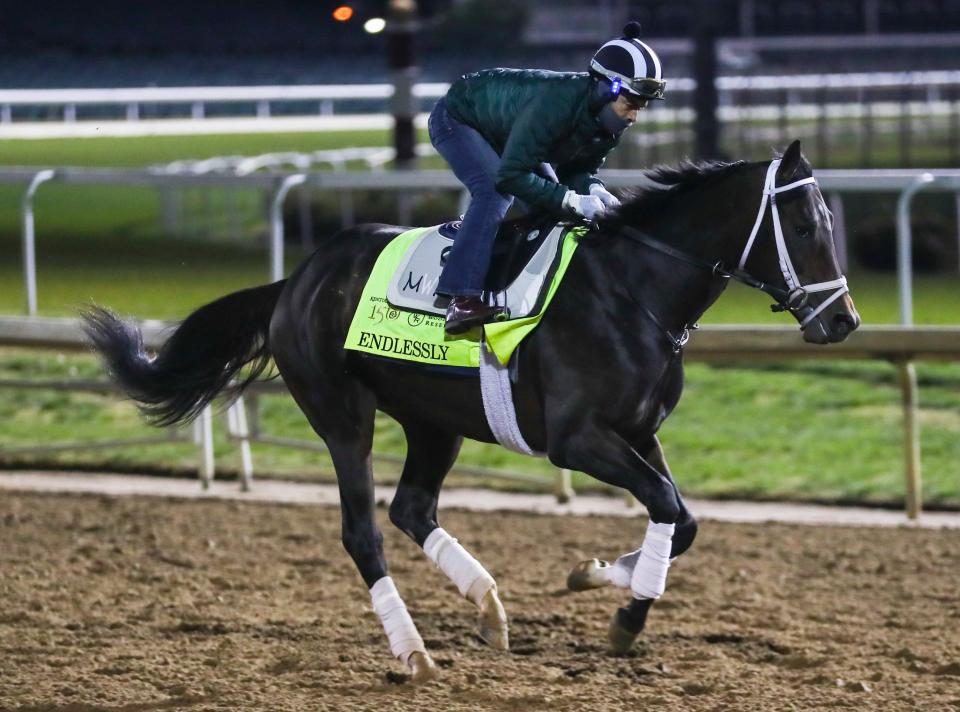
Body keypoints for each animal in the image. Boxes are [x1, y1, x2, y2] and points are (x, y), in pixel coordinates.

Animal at [84, 140, 864, 684]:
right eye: (803, 223)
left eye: (831, 219)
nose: (843, 321)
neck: (632, 291)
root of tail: (294, 280)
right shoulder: (579, 439)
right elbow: (669, 508)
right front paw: (624, 618)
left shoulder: (639, 431)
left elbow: (683, 517)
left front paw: (593, 575)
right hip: (342, 414)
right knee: (363, 532)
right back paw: (416, 653)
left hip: (433, 421)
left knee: (412, 508)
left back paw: (488, 606)